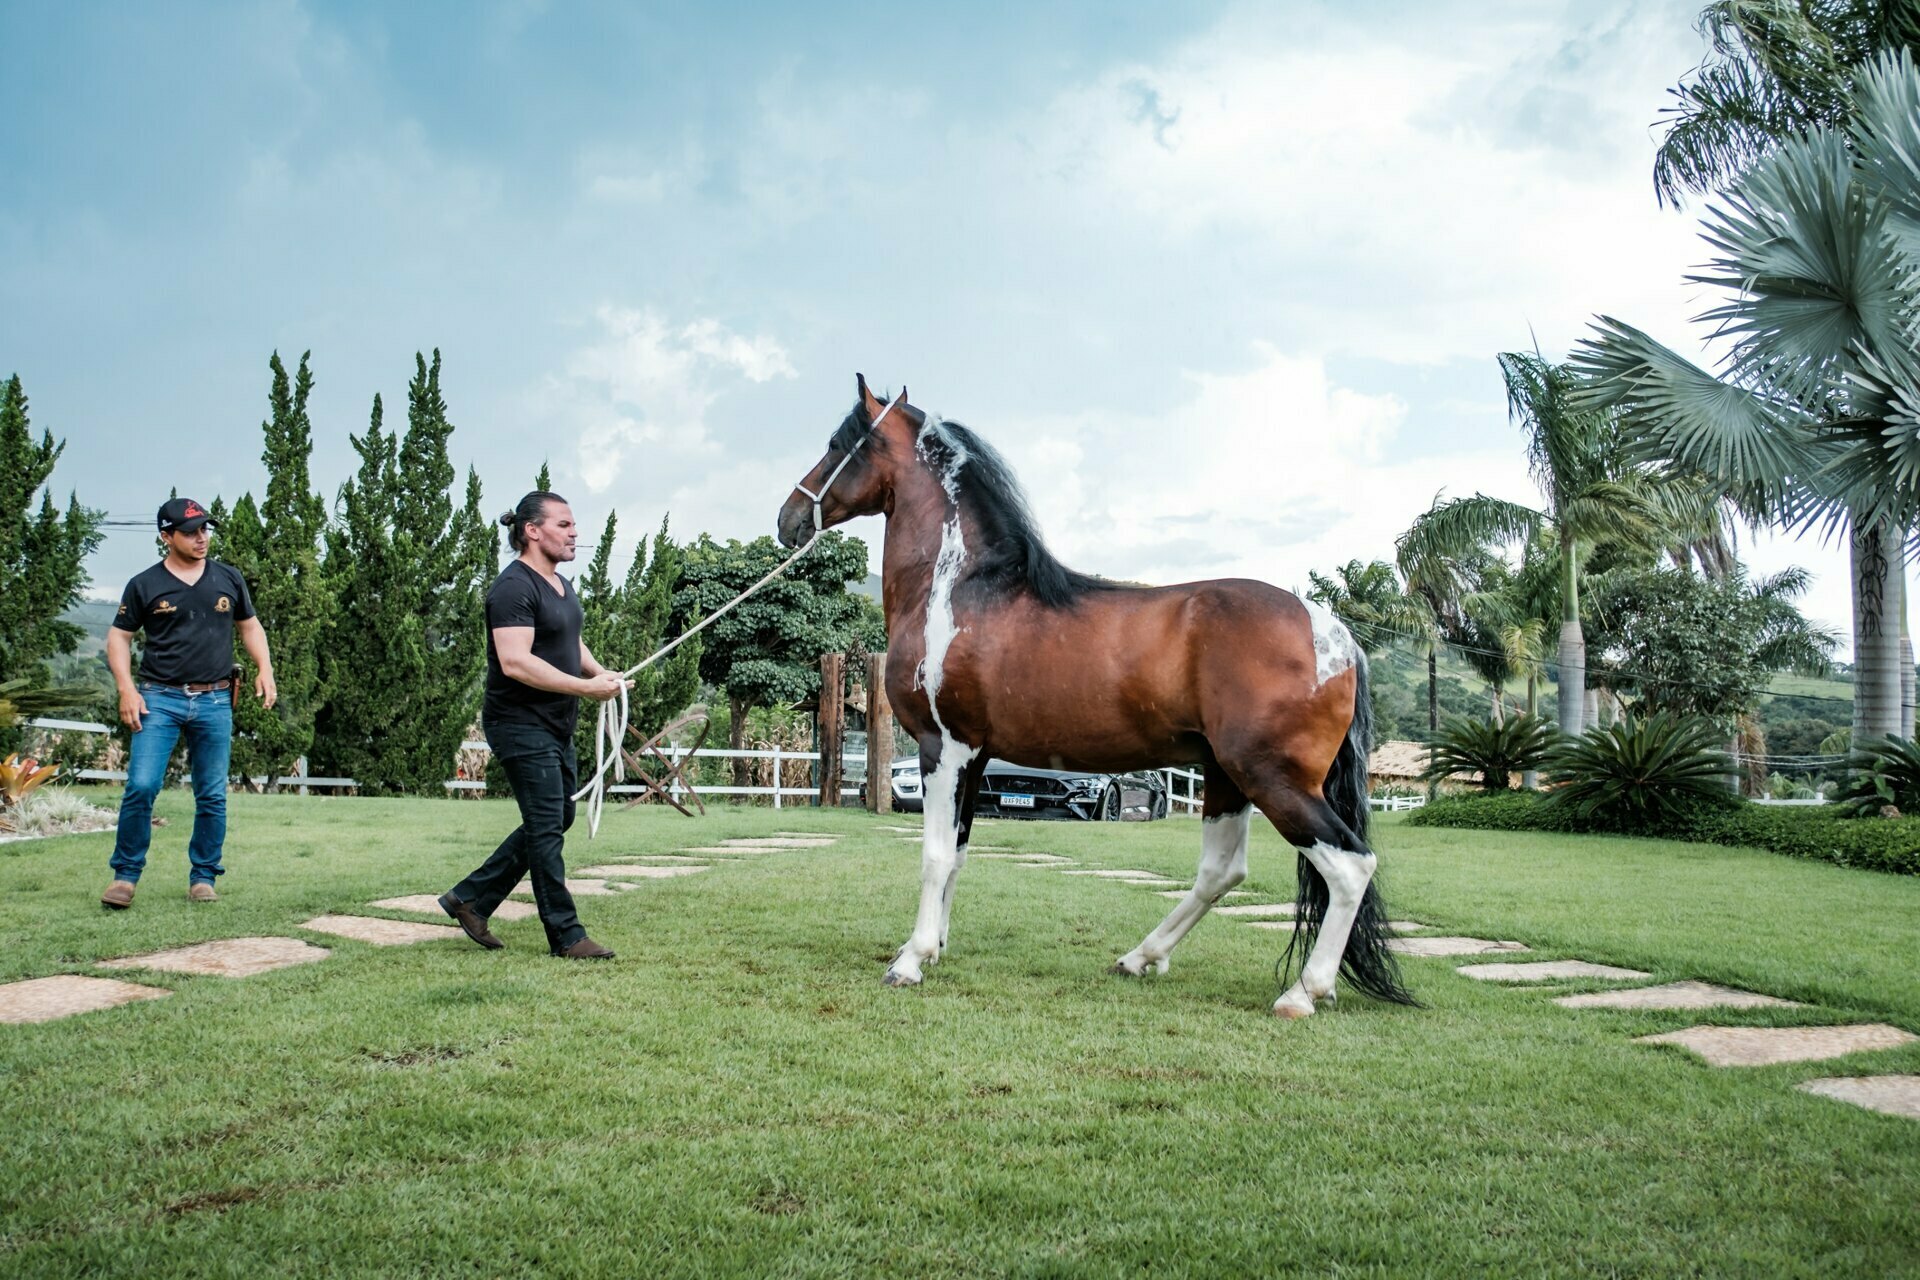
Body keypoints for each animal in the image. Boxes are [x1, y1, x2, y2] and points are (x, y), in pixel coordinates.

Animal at [771, 376, 1420, 1013]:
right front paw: (936, 949)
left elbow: (933, 855)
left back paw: (1303, 992)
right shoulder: (975, 758)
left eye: (837, 443)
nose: (788, 518)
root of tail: (1336, 634)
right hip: (1228, 777)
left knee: (1349, 866)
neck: (962, 588)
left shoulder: (943, 748)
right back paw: (1141, 958)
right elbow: (957, 853)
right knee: (1222, 871)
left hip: (1271, 778)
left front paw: (910, 960)